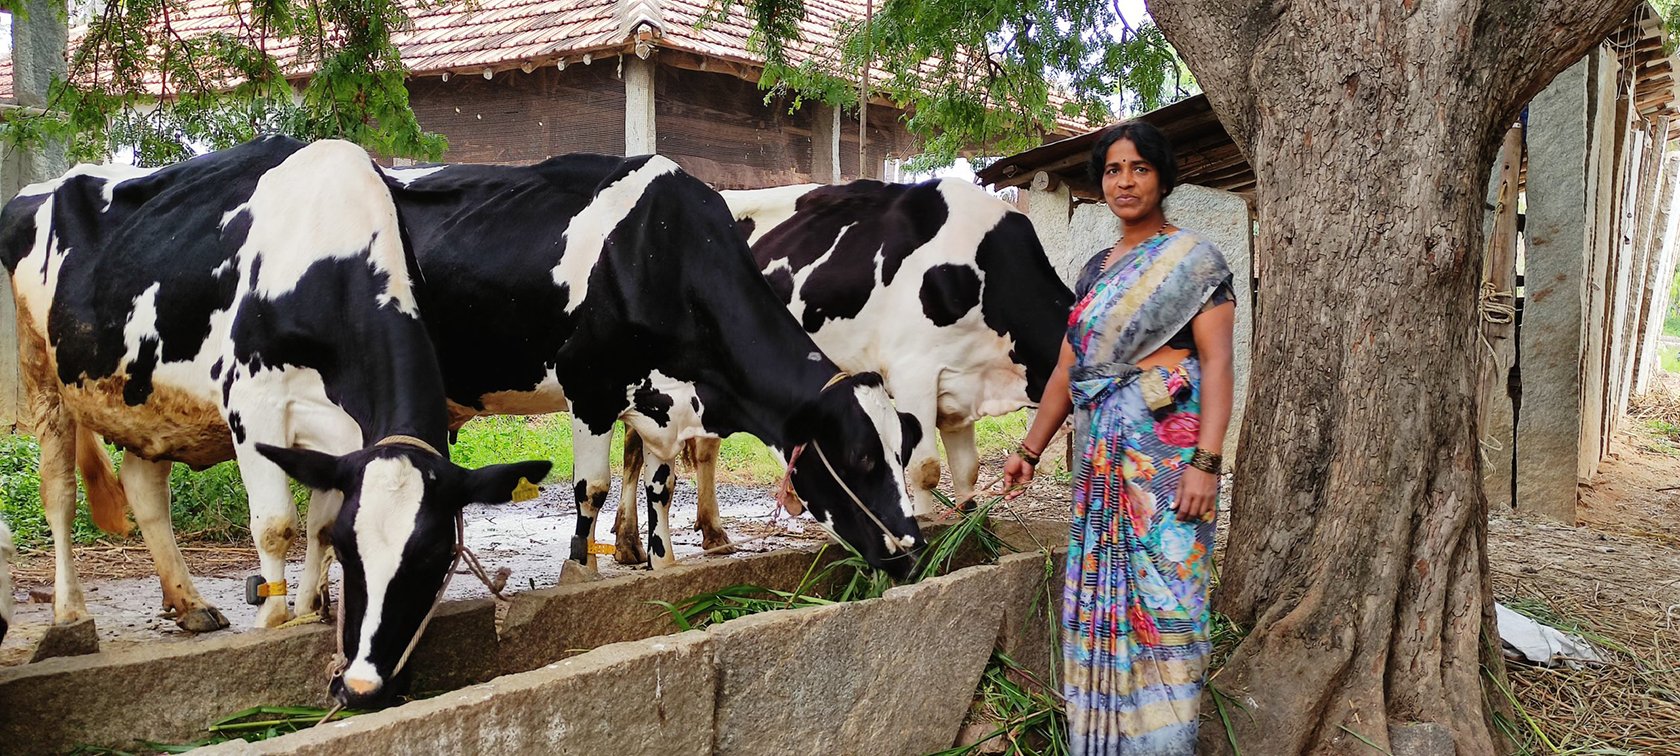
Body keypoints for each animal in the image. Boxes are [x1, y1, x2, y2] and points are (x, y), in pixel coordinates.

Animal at [0, 136, 547, 708]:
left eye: (435, 557)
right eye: (353, 555)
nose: (363, 686)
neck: (330, 253)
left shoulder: (342, 438)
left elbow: (319, 523)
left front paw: (308, 611)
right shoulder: (254, 405)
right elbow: (276, 525)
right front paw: (273, 620)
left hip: (150, 399)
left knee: (145, 490)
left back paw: (189, 602)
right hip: (40, 373)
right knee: (59, 493)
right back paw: (70, 612)